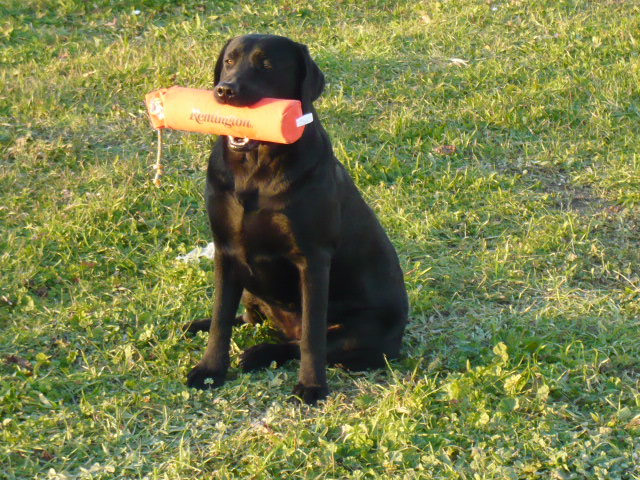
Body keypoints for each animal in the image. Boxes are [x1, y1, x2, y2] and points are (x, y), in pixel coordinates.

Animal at [185, 33, 408, 404]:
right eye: (229, 61)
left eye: (266, 65)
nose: (225, 91)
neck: (255, 171)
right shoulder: (226, 251)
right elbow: (220, 318)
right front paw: (210, 370)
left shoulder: (313, 259)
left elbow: (312, 338)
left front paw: (312, 386)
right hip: (251, 289)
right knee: (248, 319)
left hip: (363, 329)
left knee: (300, 341)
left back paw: (260, 354)